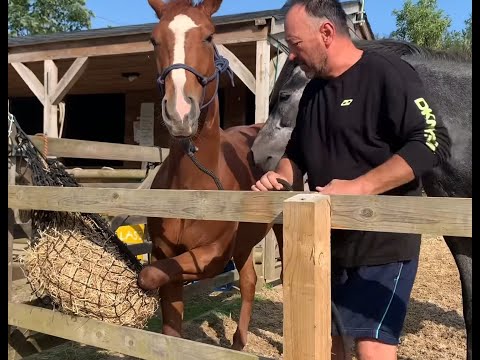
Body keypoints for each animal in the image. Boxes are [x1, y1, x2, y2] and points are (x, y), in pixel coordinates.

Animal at [137, 0, 276, 350]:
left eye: (210, 36)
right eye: (154, 40)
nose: (180, 113)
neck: (192, 189)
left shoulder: (213, 256)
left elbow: (150, 275)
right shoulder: (166, 254)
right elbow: (166, 315)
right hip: (245, 245)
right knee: (249, 281)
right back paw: (238, 343)